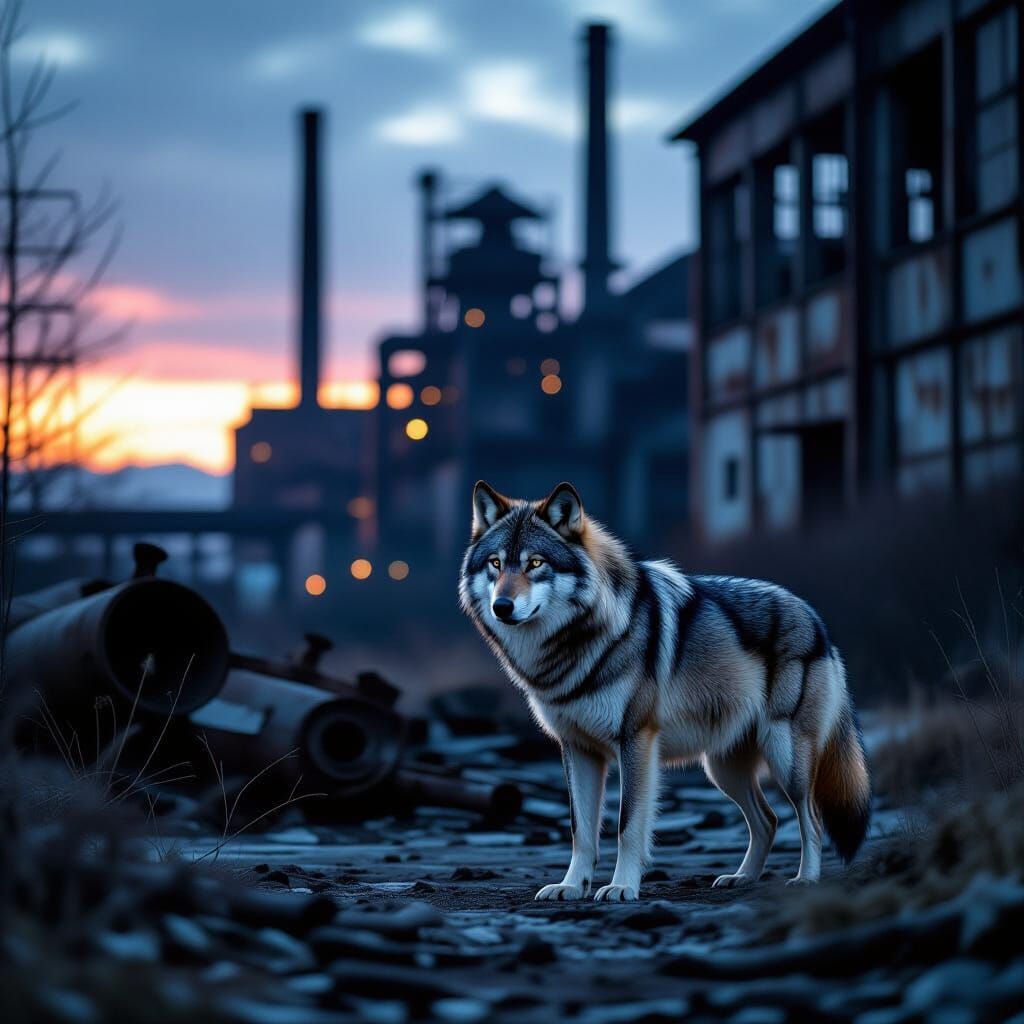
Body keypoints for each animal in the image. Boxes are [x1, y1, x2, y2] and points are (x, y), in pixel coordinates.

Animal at [459, 480, 871, 902]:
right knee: (768, 820)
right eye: (496, 564)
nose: (502, 606)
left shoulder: (636, 741)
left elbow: (627, 825)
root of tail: (816, 619)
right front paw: (571, 886)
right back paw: (742, 878)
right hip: (722, 769)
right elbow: (581, 831)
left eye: (535, 564)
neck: (576, 644)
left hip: (785, 759)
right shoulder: (577, 749)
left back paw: (805, 879)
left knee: (811, 818)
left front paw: (621, 886)